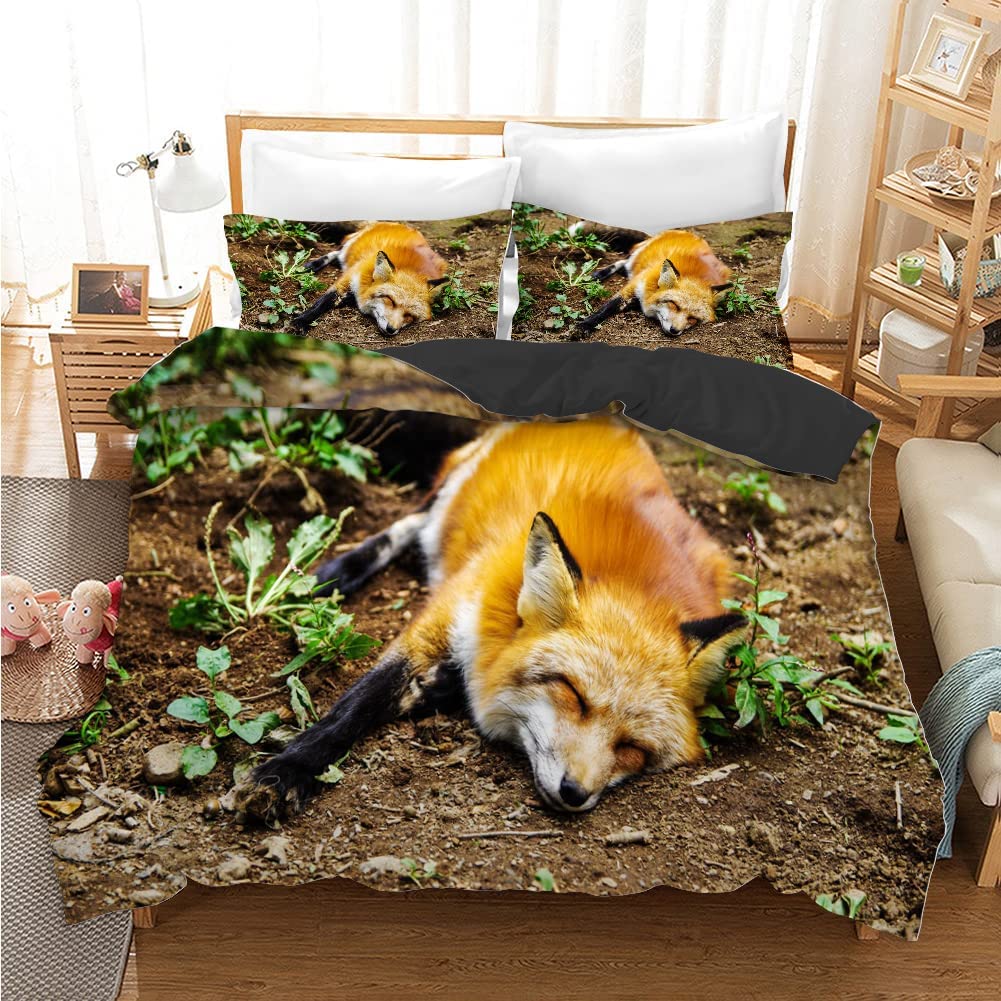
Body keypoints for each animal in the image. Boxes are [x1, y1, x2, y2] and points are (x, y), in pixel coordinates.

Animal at [235, 418, 744, 822]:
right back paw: (334, 574)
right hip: (452, 488)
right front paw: (285, 772)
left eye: (632, 748)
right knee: (410, 523)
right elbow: (355, 706)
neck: (634, 581)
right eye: (573, 695)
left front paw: (437, 687)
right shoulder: (448, 610)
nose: (574, 793)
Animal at [291, 222, 449, 336]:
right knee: (336, 252)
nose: (391, 329)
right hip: (348, 248)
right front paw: (301, 320)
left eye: (409, 315)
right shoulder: (350, 277)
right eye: (390, 300)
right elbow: (321, 303)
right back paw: (311, 265)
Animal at [576, 228, 733, 337]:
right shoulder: (635, 285)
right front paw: (584, 325)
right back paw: (598, 275)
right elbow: (606, 308)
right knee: (623, 261)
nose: (675, 330)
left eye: (693, 318)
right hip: (635, 257)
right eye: (674, 305)